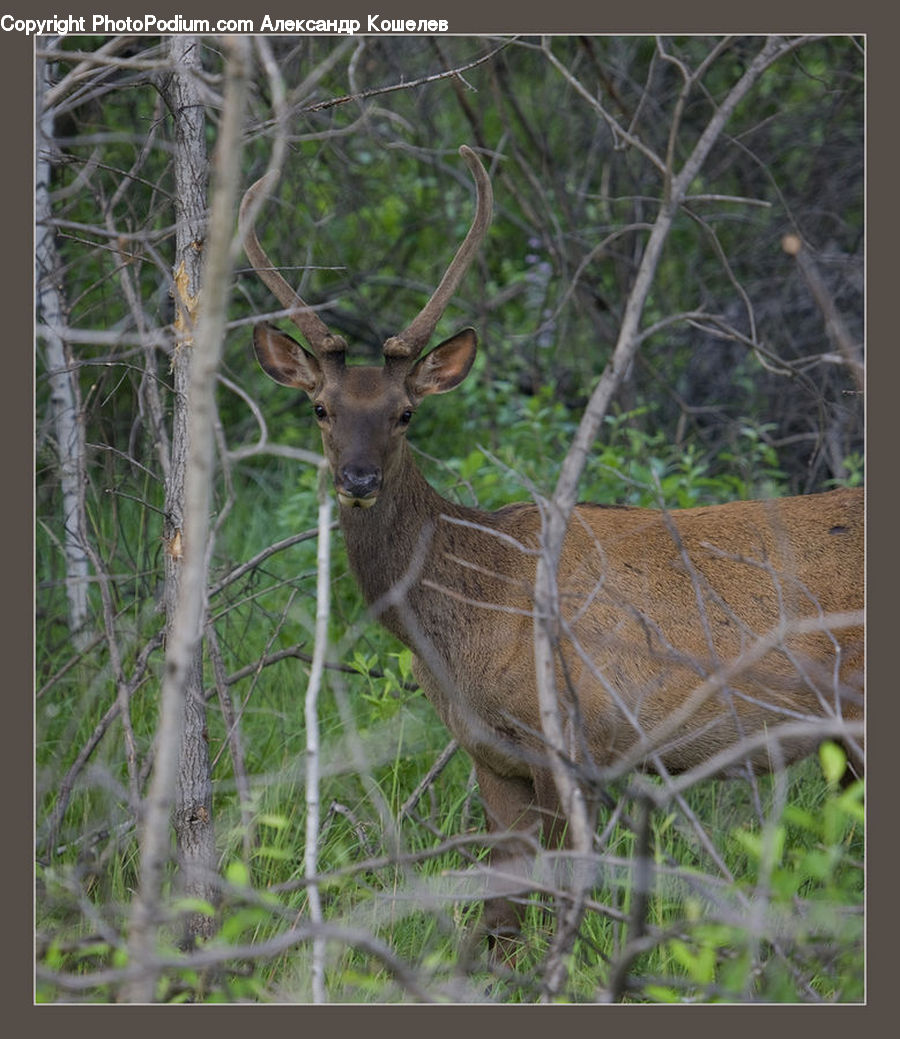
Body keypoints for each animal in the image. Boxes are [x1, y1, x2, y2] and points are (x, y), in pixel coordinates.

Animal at [239, 146, 864, 957]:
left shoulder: (567, 737)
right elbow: (499, 914)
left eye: (405, 414)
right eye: (320, 408)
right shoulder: (489, 754)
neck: (466, 618)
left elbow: (560, 896)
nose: (359, 478)